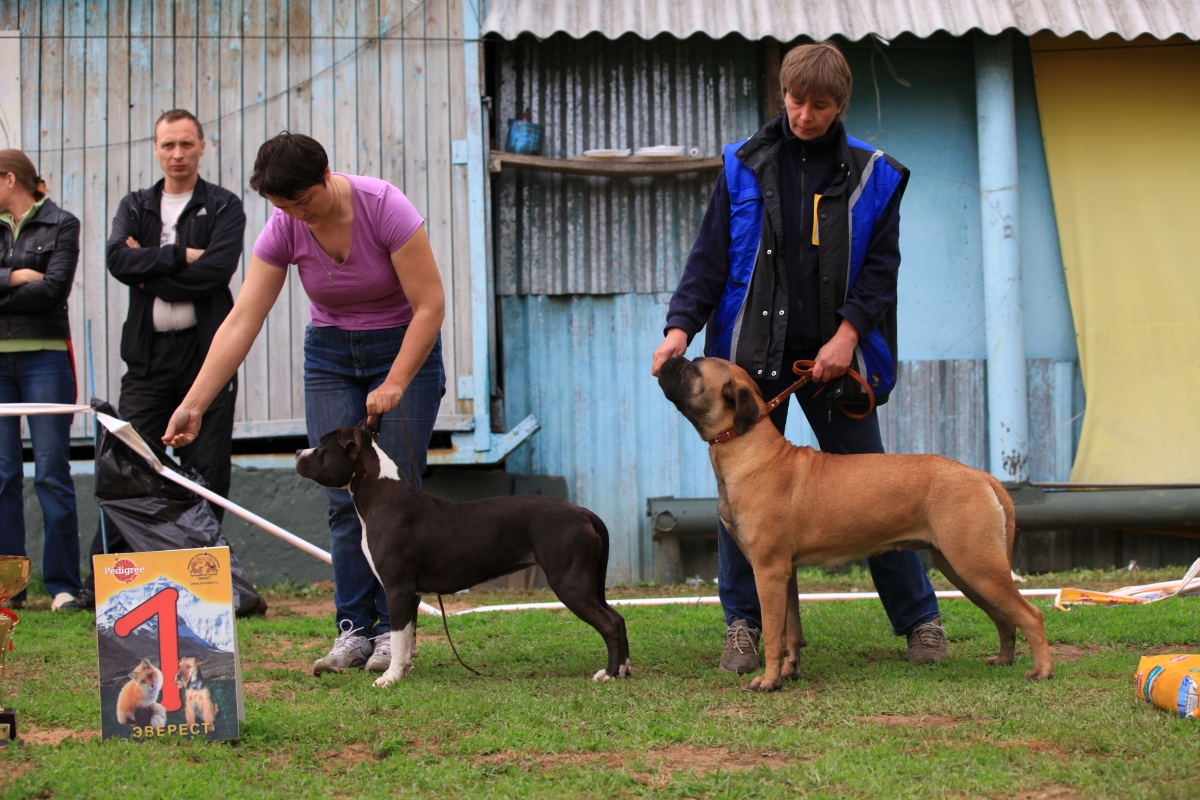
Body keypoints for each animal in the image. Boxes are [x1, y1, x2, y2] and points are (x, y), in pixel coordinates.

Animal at [292, 419, 628, 690]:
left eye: (321, 447)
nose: (296, 452)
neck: (380, 495)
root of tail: (582, 511)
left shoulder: (397, 589)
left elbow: (398, 637)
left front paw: (390, 678)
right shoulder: (411, 593)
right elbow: (408, 636)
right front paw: (404, 670)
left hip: (569, 582)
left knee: (610, 624)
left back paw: (609, 674)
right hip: (586, 582)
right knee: (618, 618)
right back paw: (623, 669)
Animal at [657, 352, 1051, 690]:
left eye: (693, 369)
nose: (670, 357)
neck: (749, 447)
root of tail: (982, 476)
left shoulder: (767, 572)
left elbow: (773, 633)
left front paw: (768, 681)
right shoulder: (786, 574)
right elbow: (791, 631)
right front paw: (789, 672)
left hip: (976, 565)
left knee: (1030, 614)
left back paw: (1042, 671)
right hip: (963, 569)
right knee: (1004, 617)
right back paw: (1004, 659)